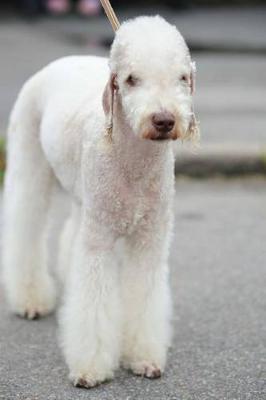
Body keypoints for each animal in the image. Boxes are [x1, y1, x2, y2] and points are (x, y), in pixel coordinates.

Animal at [1, 15, 197, 388]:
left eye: (182, 77)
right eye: (131, 79)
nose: (164, 120)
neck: (133, 159)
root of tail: (62, 60)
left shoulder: (149, 239)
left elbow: (144, 297)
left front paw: (144, 358)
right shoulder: (99, 243)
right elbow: (93, 303)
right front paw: (89, 370)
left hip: (86, 197)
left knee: (71, 231)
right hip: (30, 157)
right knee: (26, 222)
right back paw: (31, 299)